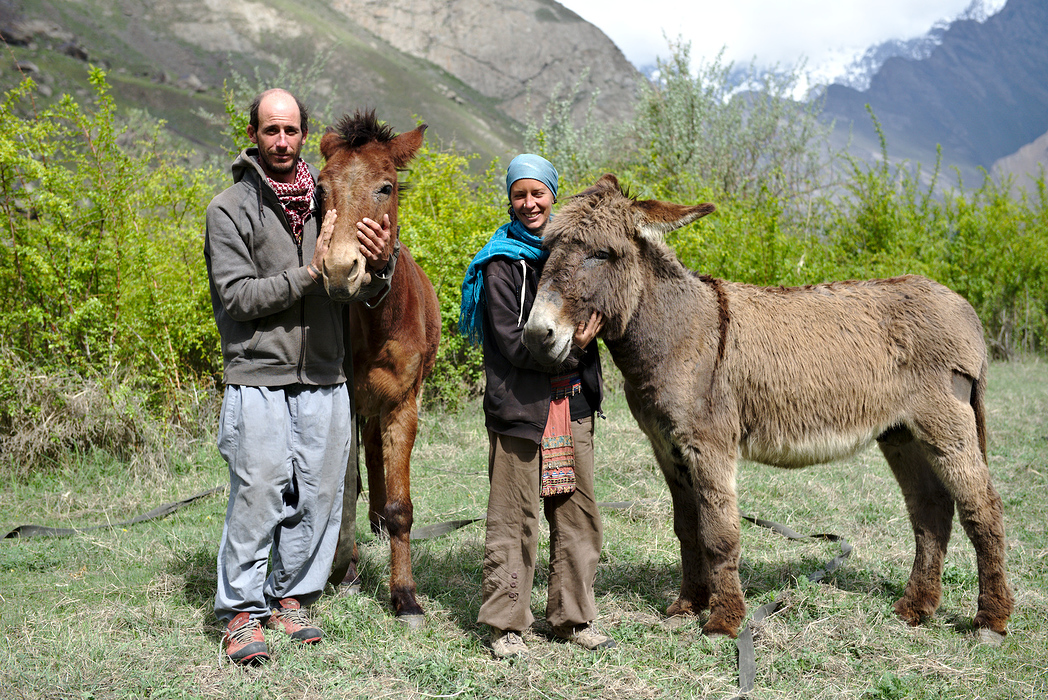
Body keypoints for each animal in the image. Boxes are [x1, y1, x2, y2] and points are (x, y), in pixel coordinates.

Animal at [524, 173, 1014, 641]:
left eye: (601, 254)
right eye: (545, 250)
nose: (536, 334)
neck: (677, 335)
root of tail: (962, 306)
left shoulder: (709, 445)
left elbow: (719, 533)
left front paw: (724, 622)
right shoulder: (667, 448)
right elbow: (687, 527)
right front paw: (688, 605)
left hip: (944, 424)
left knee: (983, 510)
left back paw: (990, 619)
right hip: (902, 434)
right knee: (932, 510)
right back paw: (916, 608)